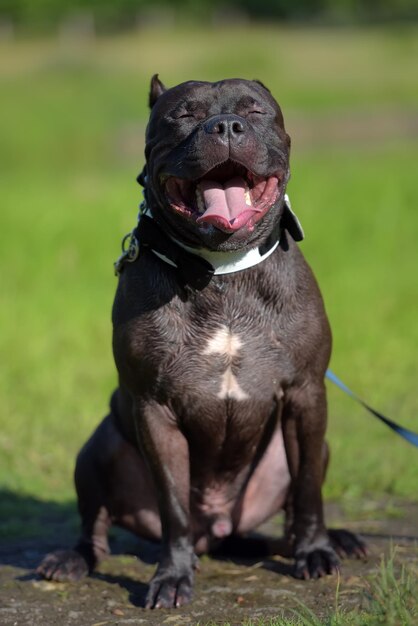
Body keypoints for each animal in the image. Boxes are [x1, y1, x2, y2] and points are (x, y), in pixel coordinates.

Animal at [39, 75, 366, 608]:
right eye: (183, 115)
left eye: (255, 111)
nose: (226, 126)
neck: (221, 272)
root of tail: (217, 529)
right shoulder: (154, 409)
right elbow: (172, 504)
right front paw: (172, 575)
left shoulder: (306, 394)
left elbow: (308, 491)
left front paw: (316, 551)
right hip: (98, 447)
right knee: (96, 525)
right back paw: (72, 560)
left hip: (308, 446)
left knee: (294, 503)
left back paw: (332, 540)